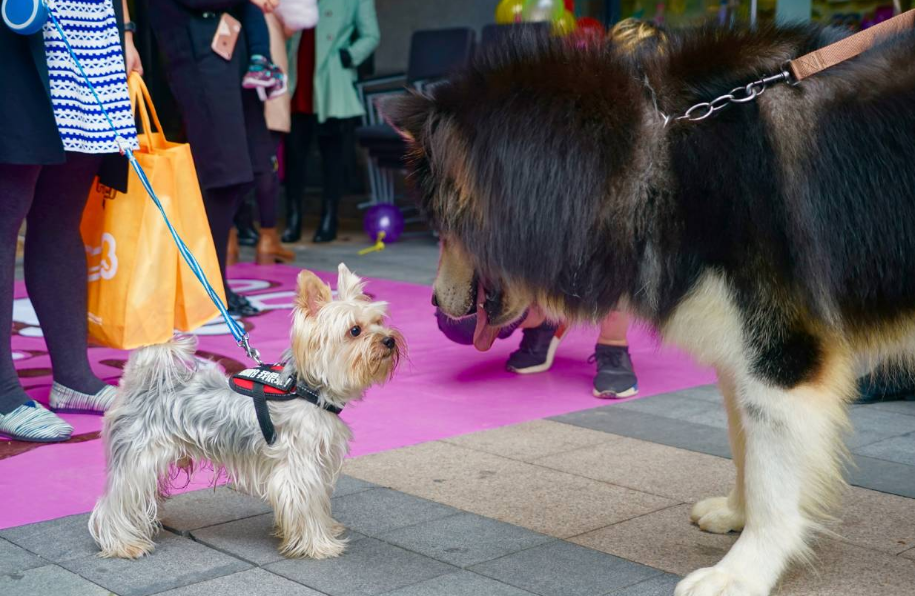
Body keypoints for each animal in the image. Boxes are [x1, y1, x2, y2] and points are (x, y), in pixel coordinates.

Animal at [382, 22, 915, 596]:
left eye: (444, 226)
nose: (432, 301)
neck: (659, 154)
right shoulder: (739, 347)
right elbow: (744, 446)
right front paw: (736, 513)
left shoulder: (781, 353)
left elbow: (772, 475)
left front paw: (743, 569)